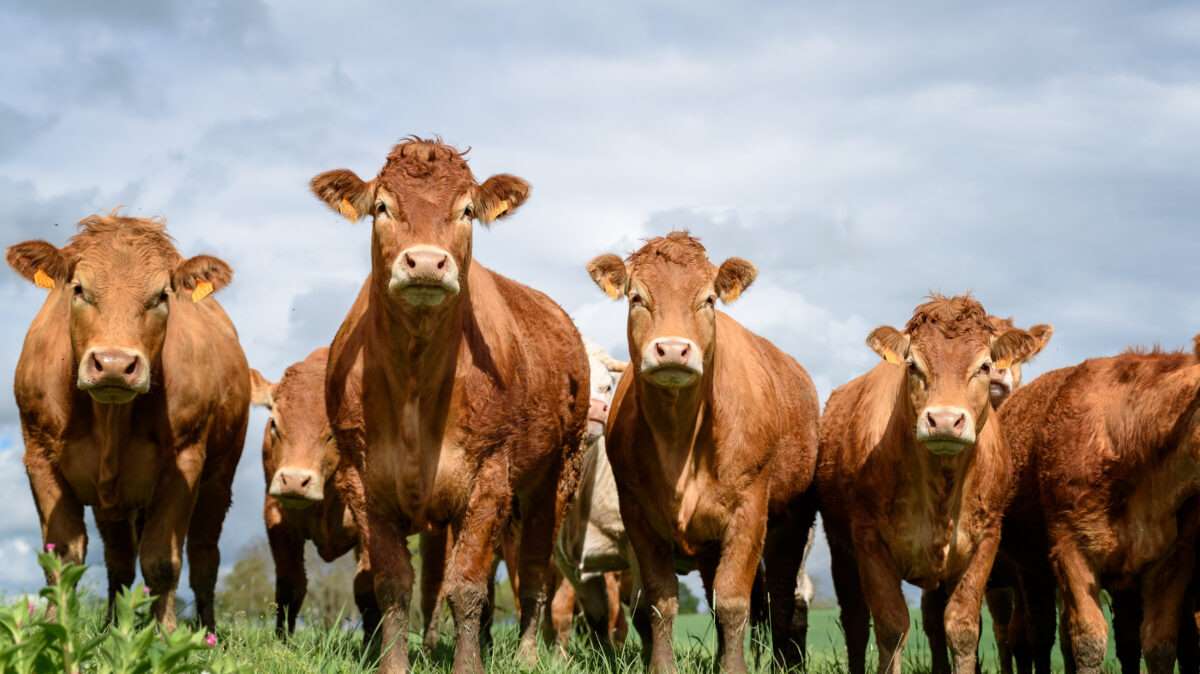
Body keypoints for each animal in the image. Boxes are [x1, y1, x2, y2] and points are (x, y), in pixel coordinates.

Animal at [5, 213, 250, 628]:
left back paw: (206, 629)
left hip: (219, 478)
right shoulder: (39, 457)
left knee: (204, 556)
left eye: (161, 296)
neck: (110, 417)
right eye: (79, 289)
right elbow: (63, 555)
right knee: (119, 560)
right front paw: (56, 627)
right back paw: (110, 625)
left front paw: (166, 634)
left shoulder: (184, 463)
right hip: (113, 504)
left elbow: (161, 559)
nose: (114, 365)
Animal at [312, 137, 588, 671]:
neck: (416, 379)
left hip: (554, 477)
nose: (425, 263)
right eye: (382, 206)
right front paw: (395, 664)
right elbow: (394, 585)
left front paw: (468, 664)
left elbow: (467, 586)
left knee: (535, 572)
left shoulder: (490, 477)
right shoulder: (363, 480)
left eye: (466, 211)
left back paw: (527, 654)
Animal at [585, 232, 820, 671]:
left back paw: (787, 662)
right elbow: (659, 602)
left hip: (792, 520)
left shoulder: (749, 511)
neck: (680, 440)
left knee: (783, 596)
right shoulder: (638, 516)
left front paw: (734, 669)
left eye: (708, 299)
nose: (673, 349)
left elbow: (733, 601)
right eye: (637, 297)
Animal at [820, 295, 1046, 671]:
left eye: (985, 365)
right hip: (841, 549)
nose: (943, 419)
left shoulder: (986, 540)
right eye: (913, 365)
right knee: (856, 623)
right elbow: (892, 627)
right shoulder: (868, 540)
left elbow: (962, 628)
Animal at [998, 333, 1200, 666]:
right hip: (1030, 570)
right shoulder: (1070, 548)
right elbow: (1089, 641)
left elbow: (1159, 646)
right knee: (1036, 636)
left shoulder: (1171, 561)